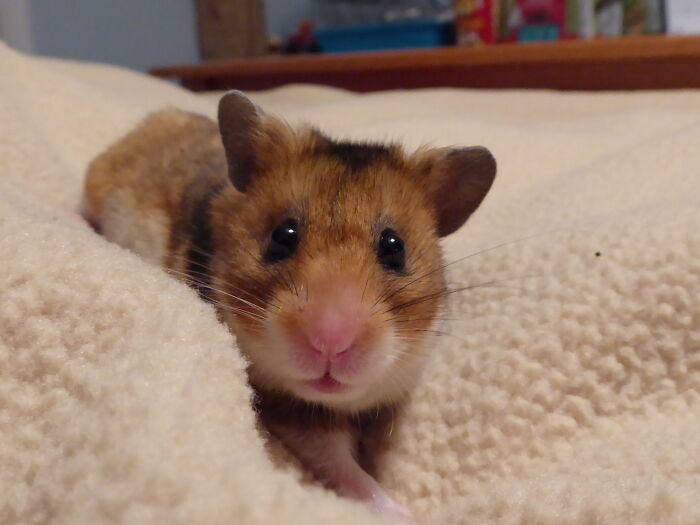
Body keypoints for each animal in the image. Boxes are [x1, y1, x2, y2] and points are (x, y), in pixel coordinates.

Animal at [82, 91, 496, 516]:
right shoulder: (289, 411)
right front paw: (403, 513)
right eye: (283, 235)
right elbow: (344, 467)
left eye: (395, 248)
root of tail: (153, 121)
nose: (329, 344)